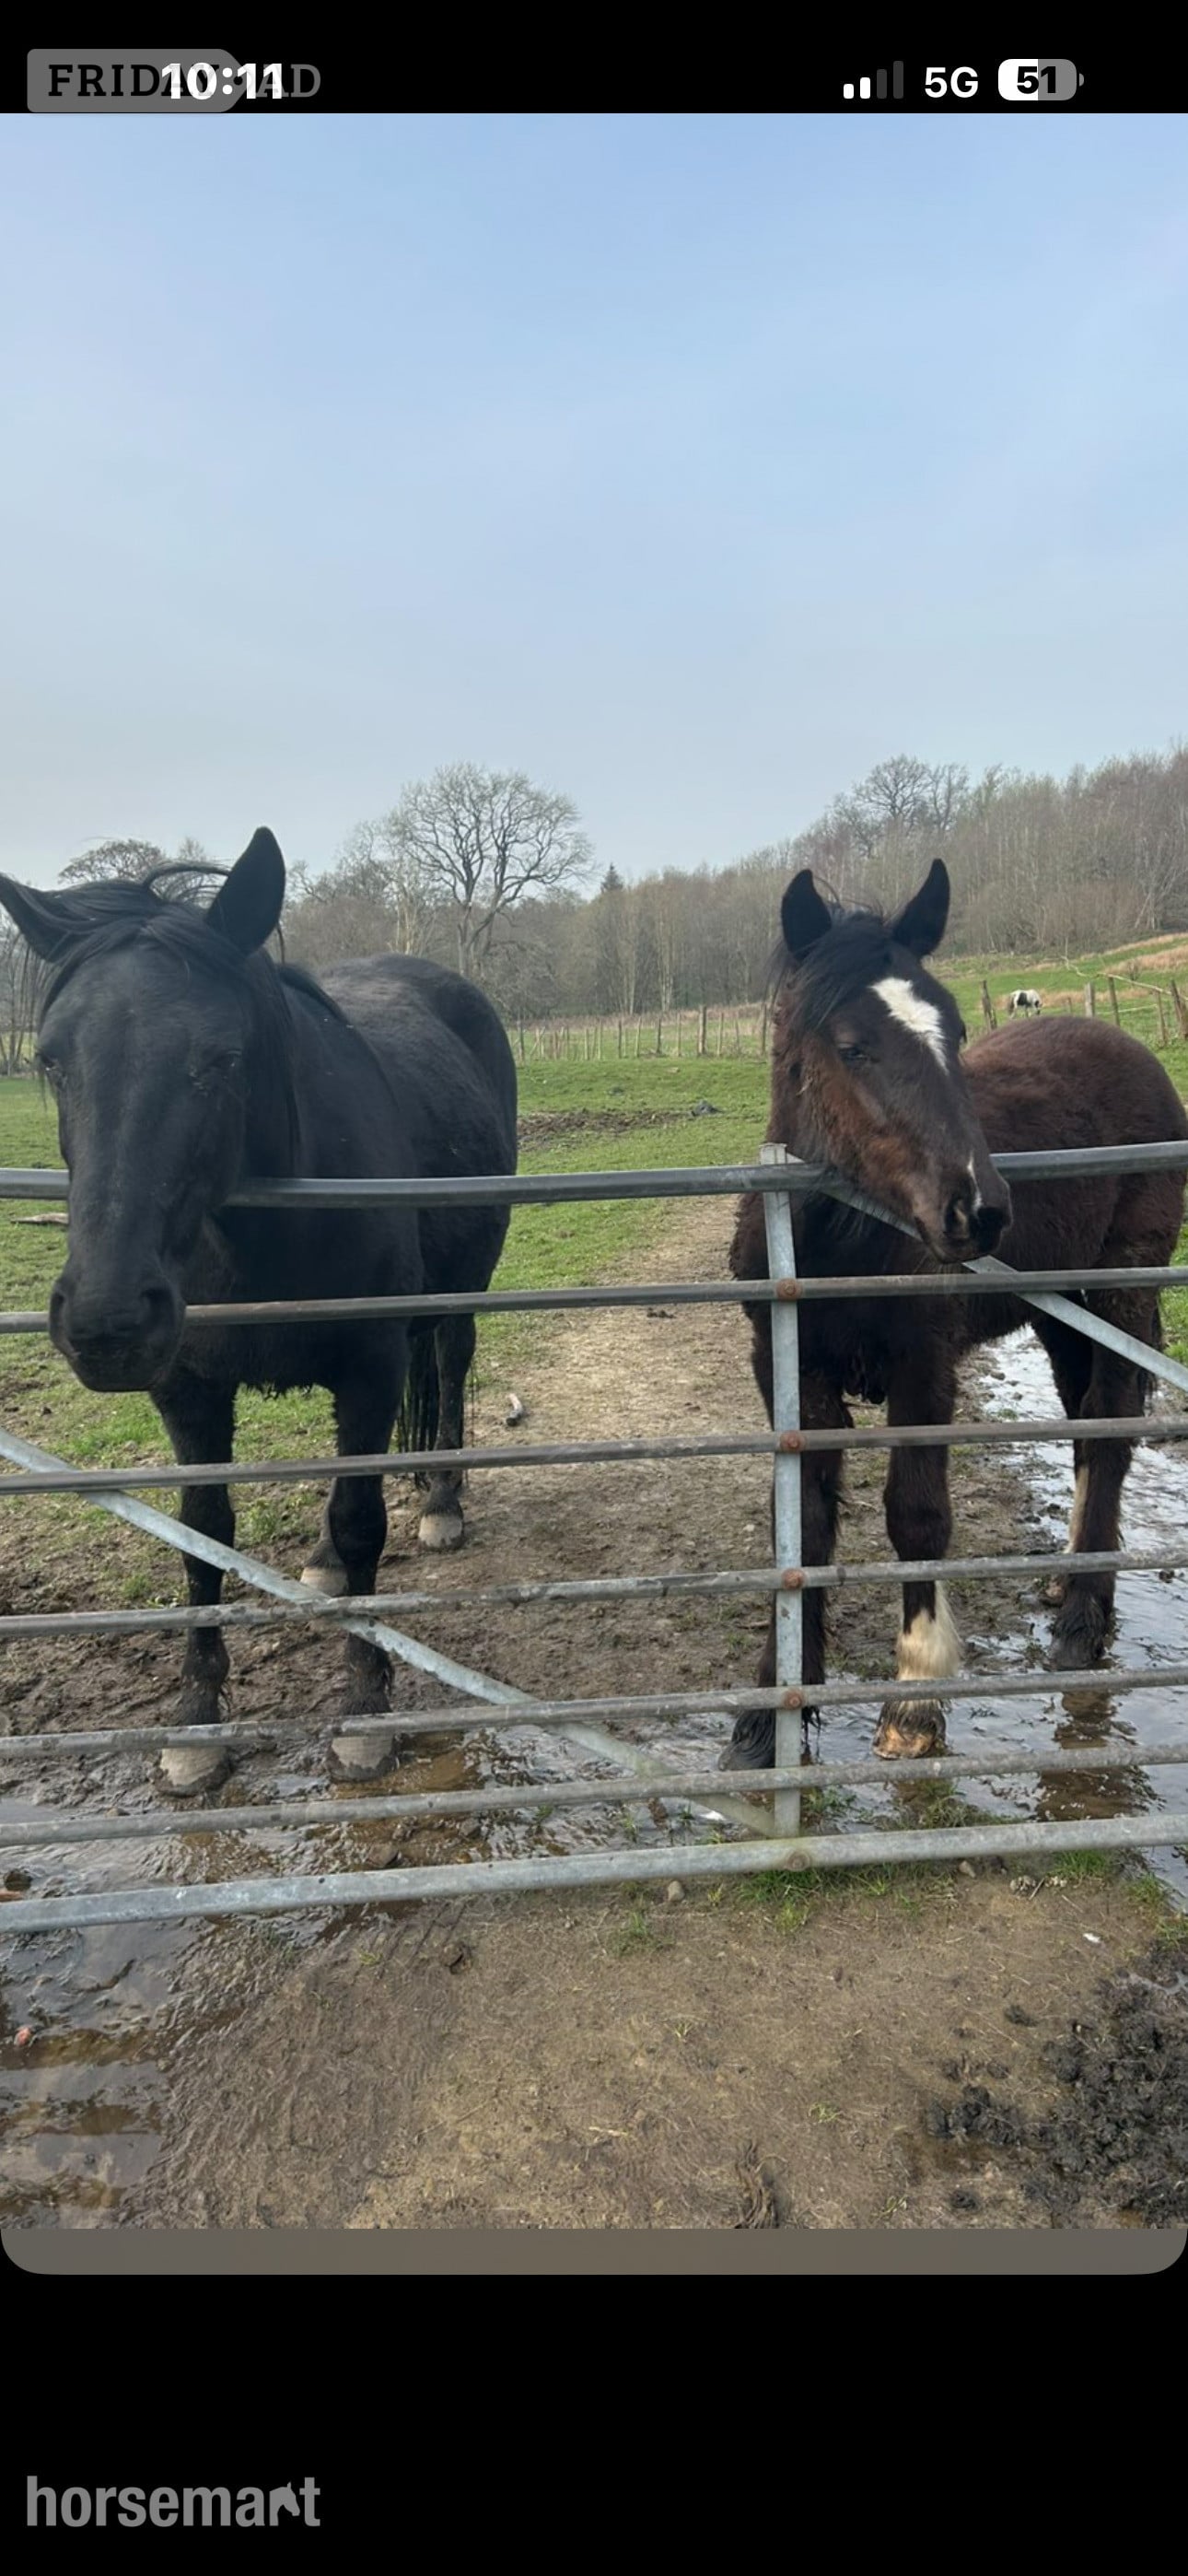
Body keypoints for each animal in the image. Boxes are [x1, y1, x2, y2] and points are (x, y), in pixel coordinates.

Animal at [0, 830, 518, 1798]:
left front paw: (364, 1708)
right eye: (51, 1058)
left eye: (221, 1058)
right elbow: (205, 1538)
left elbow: (362, 1521)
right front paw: (196, 1724)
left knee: (449, 1368)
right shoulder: (189, 1389)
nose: (106, 1322)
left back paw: (441, 1500)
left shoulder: (370, 1366)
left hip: (458, 1295)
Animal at [723, 858, 1188, 1770]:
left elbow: (917, 1514)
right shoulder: (790, 1371)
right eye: (852, 1046)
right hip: (1062, 1311)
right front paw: (771, 1712)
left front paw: (916, 1701)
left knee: (1112, 1425)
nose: (979, 1210)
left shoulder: (924, 1370)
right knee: (1082, 1418)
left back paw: (1084, 1618)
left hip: (1124, 1286)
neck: (841, 1239)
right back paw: (1069, 1574)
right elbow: (802, 1527)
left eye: (957, 1027)